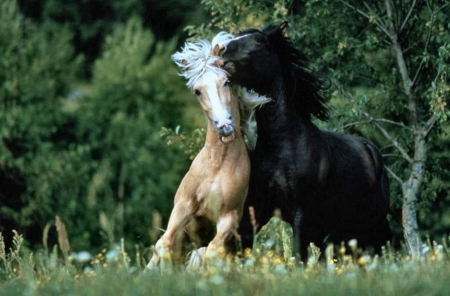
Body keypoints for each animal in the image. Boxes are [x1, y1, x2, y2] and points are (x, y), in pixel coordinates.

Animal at [147, 31, 268, 268]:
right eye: (197, 91)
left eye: (226, 82)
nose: (225, 126)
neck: (216, 165)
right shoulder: (183, 207)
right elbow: (163, 243)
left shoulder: (228, 218)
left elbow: (212, 252)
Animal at [221, 22, 390, 260]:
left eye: (259, 40)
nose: (221, 51)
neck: (281, 147)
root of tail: (372, 151)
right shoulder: (257, 210)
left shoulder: (301, 214)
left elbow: (298, 256)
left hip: (370, 223)